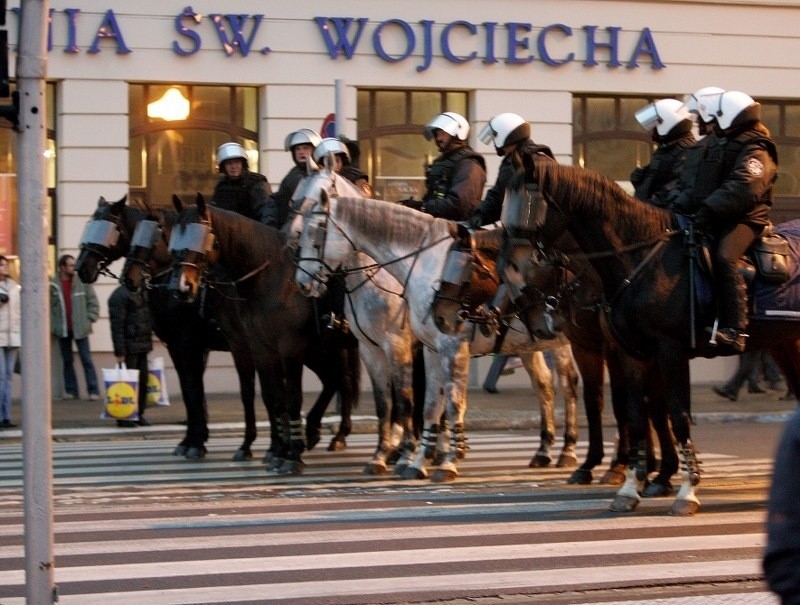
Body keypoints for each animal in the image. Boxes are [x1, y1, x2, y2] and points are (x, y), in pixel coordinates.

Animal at [290, 186, 580, 478]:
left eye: (315, 230)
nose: (302, 283)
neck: (424, 266)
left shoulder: (436, 347)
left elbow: (445, 403)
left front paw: (443, 459)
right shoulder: (409, 349)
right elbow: (423, 405)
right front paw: (413, 461)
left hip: (562, 344)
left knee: (568, 385)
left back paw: (567, 451)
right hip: (529, 344)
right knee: (544, 385)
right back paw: (543, 451)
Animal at [506, 160, 800, 516]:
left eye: (528, 204)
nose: (517, 278)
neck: (641, 261)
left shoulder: (668, 351)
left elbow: (675, 414)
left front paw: (684, 491)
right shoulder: (630, 353)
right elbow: (635, 414)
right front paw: (632, 487)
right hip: (787, 343)